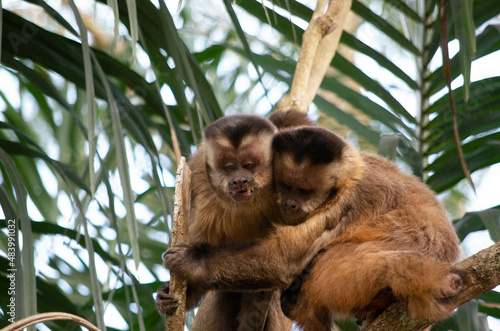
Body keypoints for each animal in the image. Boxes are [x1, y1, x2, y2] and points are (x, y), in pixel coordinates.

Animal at [156, 112, 312, 331]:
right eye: (229, 167)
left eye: (249, 165)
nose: (240, 180)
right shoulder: (199, 182)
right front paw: (167, 293)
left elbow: (287, 261)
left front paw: (193, 262)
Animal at [163, 126, 460, 330]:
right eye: (286, 186)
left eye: (304, 191)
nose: (291, 204)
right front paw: (166, 294)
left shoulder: (350, 200)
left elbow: (282, 260)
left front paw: (193, 262)